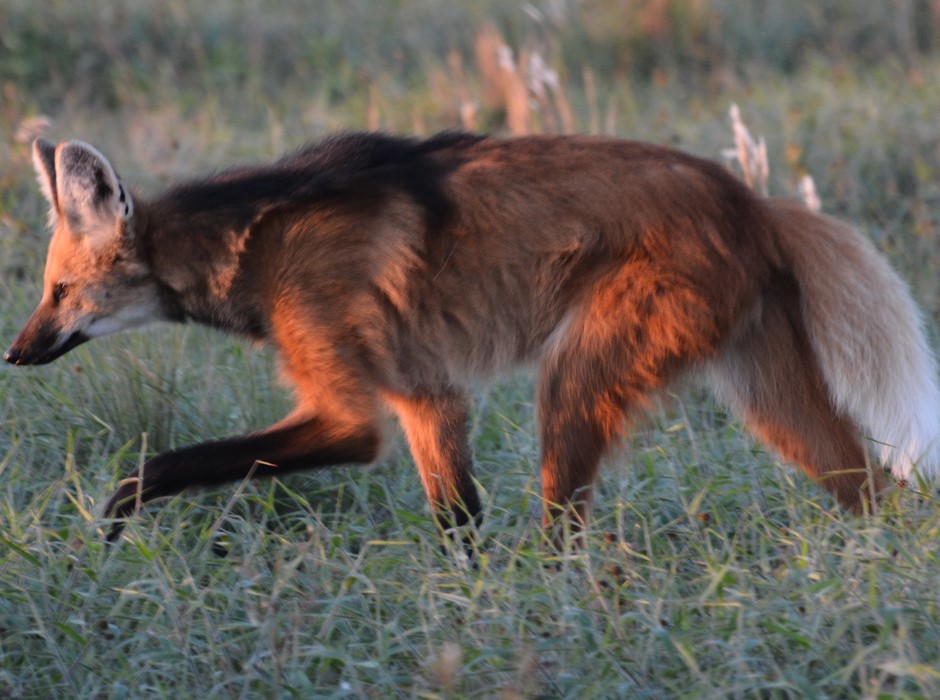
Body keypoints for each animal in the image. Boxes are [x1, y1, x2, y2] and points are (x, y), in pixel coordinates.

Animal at [7, 133, 940, 540]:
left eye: (58, 291)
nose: (14, 353)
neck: (251, 242)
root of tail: (753, 200)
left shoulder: (353, 413)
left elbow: (168, 463)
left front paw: (113, 517)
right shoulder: (427, 396)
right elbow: (458, 517)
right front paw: (473, 608)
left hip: (580, 367)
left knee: (565, 507)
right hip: (760, 380)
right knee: (867, 483)